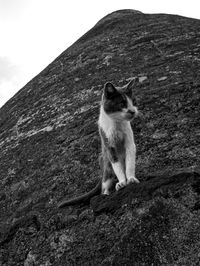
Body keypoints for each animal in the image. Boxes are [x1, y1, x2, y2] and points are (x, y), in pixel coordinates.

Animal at [57, 79, 139, 208]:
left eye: (134, 102)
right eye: (122, 103)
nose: (132, 111)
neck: (116, 125)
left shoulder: (129, 142)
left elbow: (130, 162)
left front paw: (131, 179)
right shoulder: (108, 144)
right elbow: (117, 167)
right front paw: (122, 182)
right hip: (106, 166)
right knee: (104, 184)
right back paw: (107, 193)